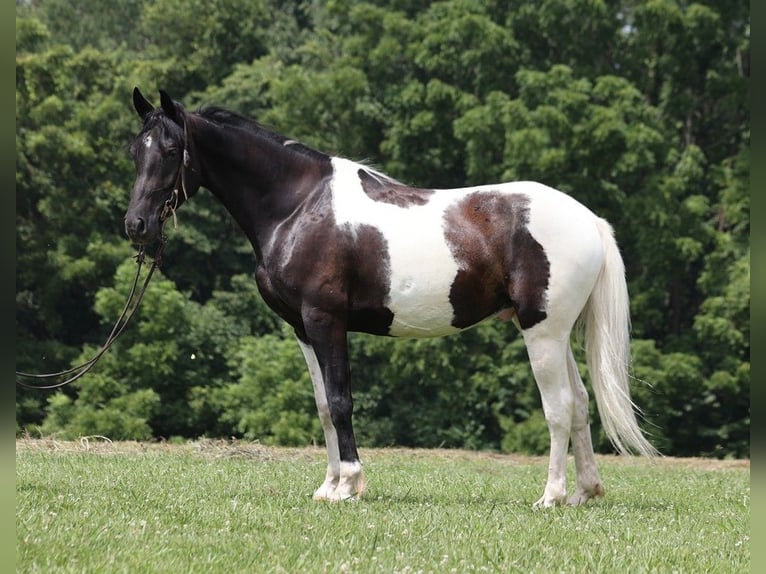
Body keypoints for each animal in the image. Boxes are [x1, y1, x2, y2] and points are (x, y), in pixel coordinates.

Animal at [126, 86, 660, 508]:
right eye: (136, 150)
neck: (297, 205)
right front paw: (328, 486)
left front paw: (349, 485)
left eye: (171, 149)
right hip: (556, 332)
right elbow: (323, 405)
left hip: (542, 332)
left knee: (559, 406)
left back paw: (550, 496)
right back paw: (583, 492)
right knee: (581, 403)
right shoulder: (302, 328)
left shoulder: (326, 320)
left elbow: (341, 400)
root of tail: (588, 220)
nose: (137, 225)